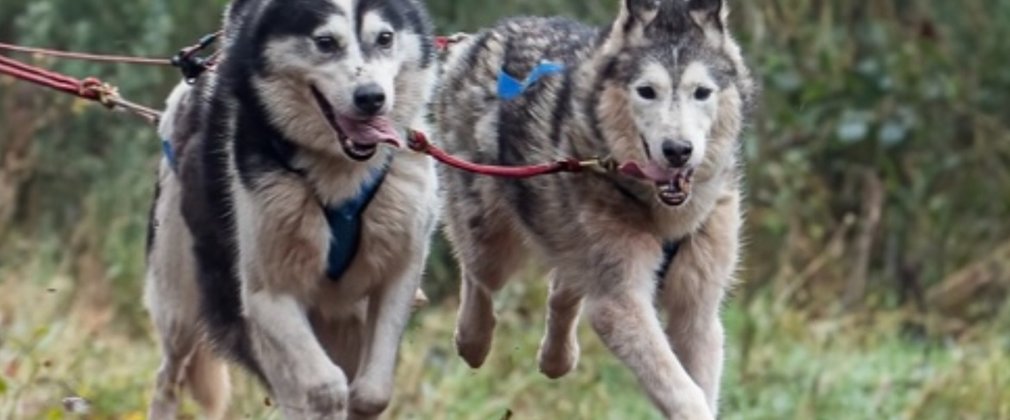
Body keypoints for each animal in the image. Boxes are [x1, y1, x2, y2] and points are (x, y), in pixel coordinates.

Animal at [142, 0, 438, 417]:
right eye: (325, 42)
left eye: (385, 38)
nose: (371, 97)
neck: (340, 175)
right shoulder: (266, 295)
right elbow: (324, 386)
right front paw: (328, 398)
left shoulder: (399, 272)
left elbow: (372, 391)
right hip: (180, 303)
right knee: (169, 376)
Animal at [438, 0, 755, 415]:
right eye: (646, 91)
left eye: (702, 92)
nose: (678, 150)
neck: (665, 216)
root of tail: (479, 37)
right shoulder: (620, 301)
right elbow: (684, 393)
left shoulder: (697, 310)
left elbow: (699, 384)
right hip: (493, 247)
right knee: (479, 277)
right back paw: (472, 341)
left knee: (563, 284)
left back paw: (557, 358)